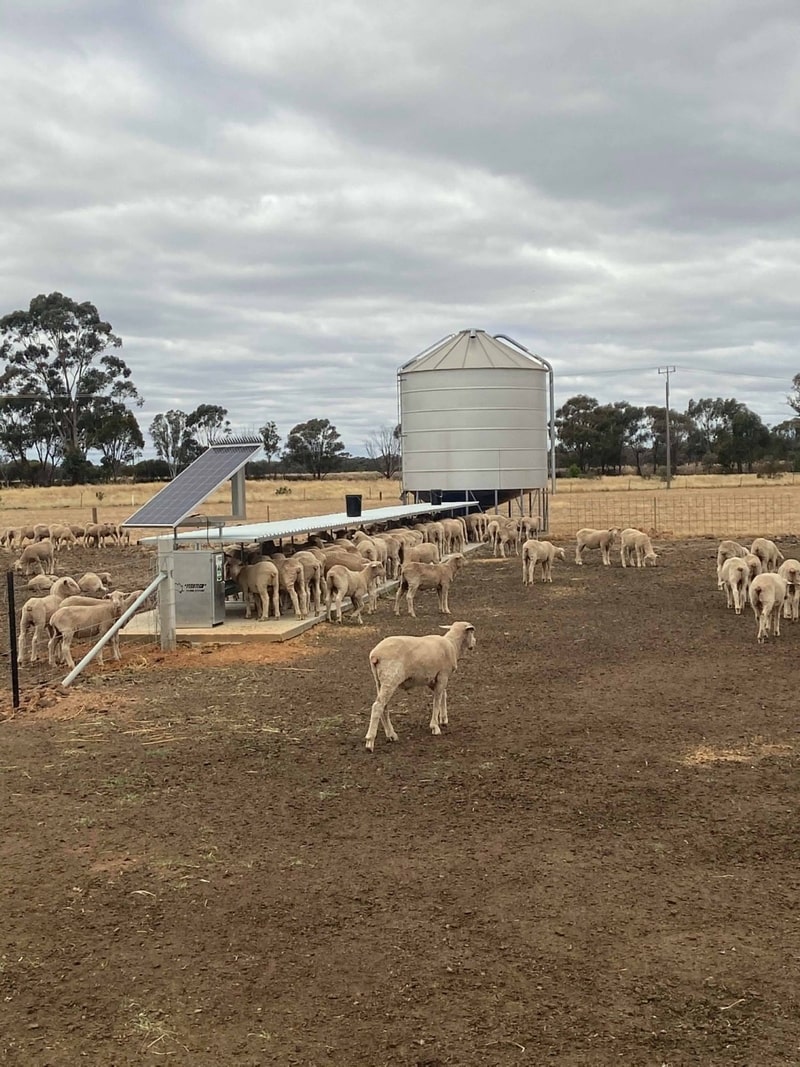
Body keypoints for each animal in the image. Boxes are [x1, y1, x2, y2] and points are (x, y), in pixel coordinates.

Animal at [365, 621, 476, 751]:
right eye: (472, 632)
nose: (475, 642)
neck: (453, 644)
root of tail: (375, 655)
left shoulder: (433, 679)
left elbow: (443, 695)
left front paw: (443, 719)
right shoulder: (443, 675)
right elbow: (437, 700)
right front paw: (435, 727)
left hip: (379, 681)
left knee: (384, 706)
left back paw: (391, 735)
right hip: (390, 678)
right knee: (377, 706)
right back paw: (370, 741)